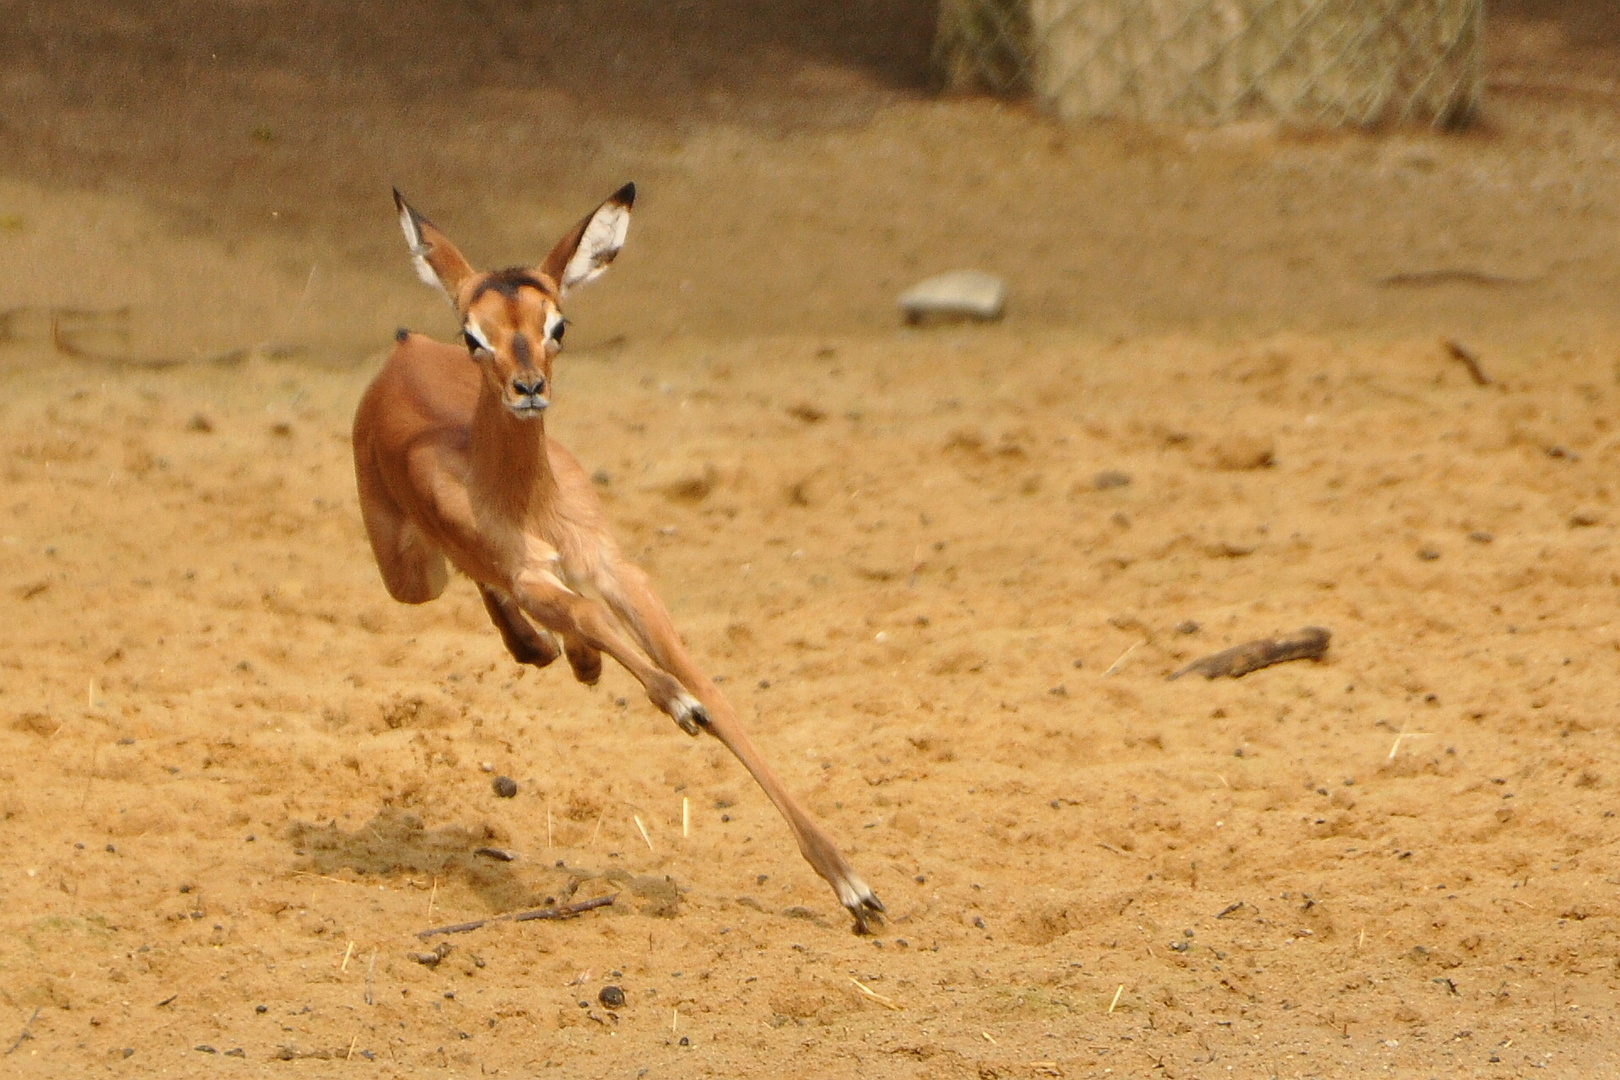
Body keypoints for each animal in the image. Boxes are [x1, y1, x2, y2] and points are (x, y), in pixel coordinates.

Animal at [354, 186, 887, 932]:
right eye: (472, 334)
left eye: (557, 323)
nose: (527, 388)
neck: (524, 501)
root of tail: (400, 356)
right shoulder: (535, 575)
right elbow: (588, 616)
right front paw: (676, 704)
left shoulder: (618, 570)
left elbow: (712, 689)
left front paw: (853, 886)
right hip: (412, 576)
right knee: (488, 584)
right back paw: (549, 650)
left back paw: (565, 658)